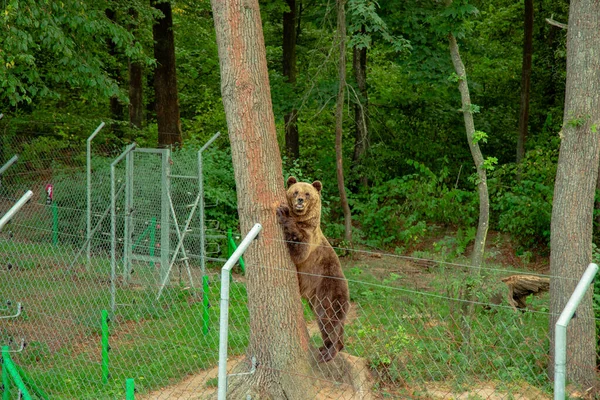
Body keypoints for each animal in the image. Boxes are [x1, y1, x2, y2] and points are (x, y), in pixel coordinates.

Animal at [278, 176, 350, 362]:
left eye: (307, 194)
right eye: (295, 191)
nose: (300, 201)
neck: (302, 219)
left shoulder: (310, 239)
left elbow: (300, 250)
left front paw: (284, 213)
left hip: (329, 286)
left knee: (329, 317)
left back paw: (330, 351)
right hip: (315, 295)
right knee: (323, 321)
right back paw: (325, 346)